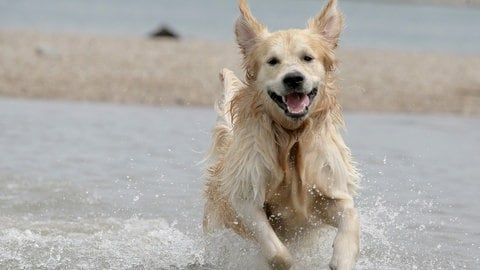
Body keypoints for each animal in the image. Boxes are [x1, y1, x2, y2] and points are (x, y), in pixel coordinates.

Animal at [203, 1, 360, 268]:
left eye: (307, 58)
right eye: (272, 61)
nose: (294, 78)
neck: (292, 137)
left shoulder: (331, 191)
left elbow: (351, 216)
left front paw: (342, 258)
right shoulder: (247, 198)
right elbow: (277, 251)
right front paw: (286, 260)